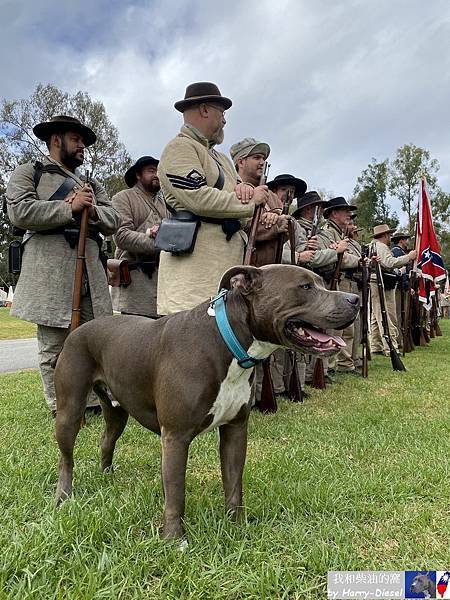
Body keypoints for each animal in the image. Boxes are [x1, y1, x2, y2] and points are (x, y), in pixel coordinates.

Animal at [54, 264, 358, 540]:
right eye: (305, 286)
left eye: (320, 283)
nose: (354, 299)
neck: (228, 341)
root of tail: (81, 329)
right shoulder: (175, 437)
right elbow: (176, 493)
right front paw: (174, 539)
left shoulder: (235, 430)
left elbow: (234, 484)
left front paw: (236, 527)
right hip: (69, 411)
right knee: (66, 458)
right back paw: (63, 496)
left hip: (117, 411)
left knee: (107, 439)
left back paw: (107, 476)